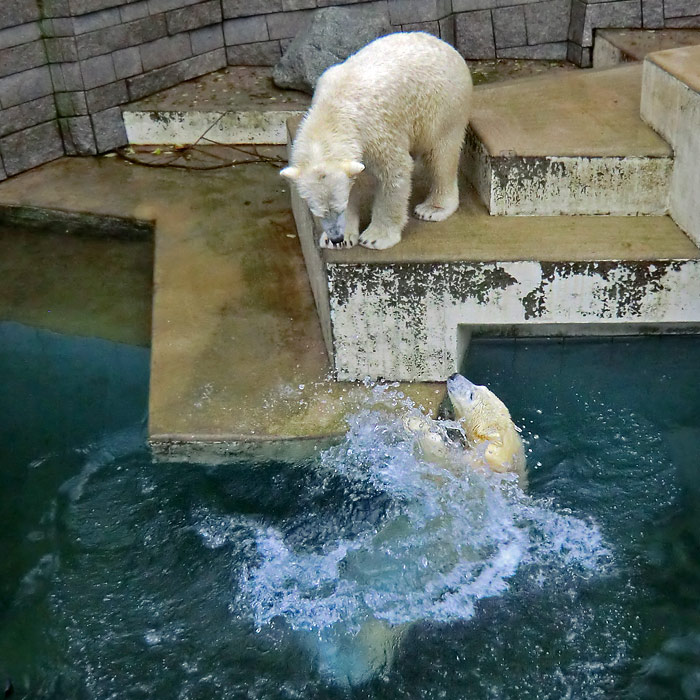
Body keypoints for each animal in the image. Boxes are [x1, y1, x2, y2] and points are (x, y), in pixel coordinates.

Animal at [282, 33, 474, 252]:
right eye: (319, 211)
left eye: (339, 207)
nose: (336, 237)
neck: (334, 110)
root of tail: (447, 46)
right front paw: (342, 240)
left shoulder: (376, 129)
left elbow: (394, 172)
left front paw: (375, 238)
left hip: (443, 105)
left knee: (440, 155)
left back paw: (432, 208)